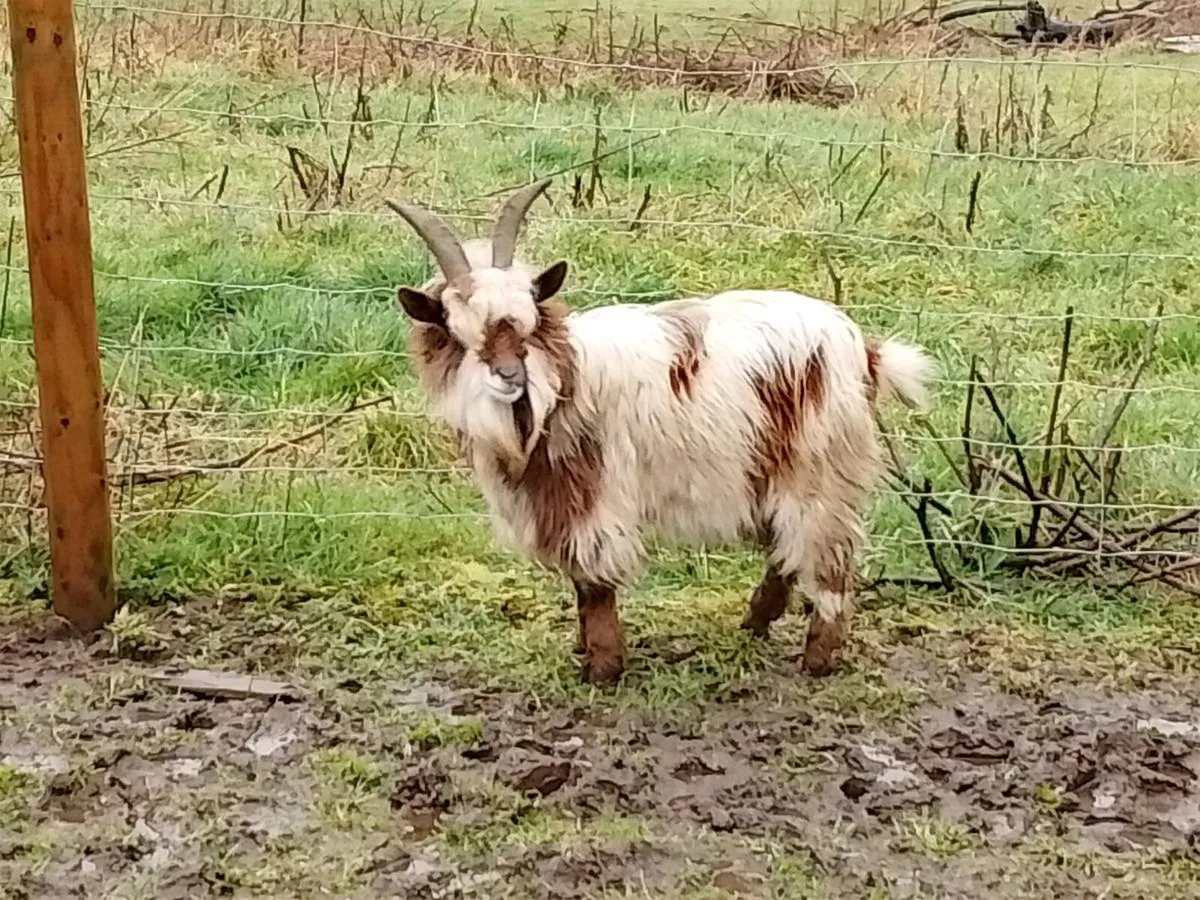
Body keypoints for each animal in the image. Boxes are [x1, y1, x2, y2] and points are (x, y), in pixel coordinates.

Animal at [386, 179, 932, 684]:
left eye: (528, 323)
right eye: (457, 334)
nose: (509, 377)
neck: (563, 380)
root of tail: (860, 345)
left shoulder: (593, 499)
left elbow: (593, 584)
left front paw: (603, 668)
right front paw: (586, 652)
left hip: (820, 468)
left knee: (827, 558)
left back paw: (816, 660)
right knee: (786, 548)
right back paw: (754, 625)